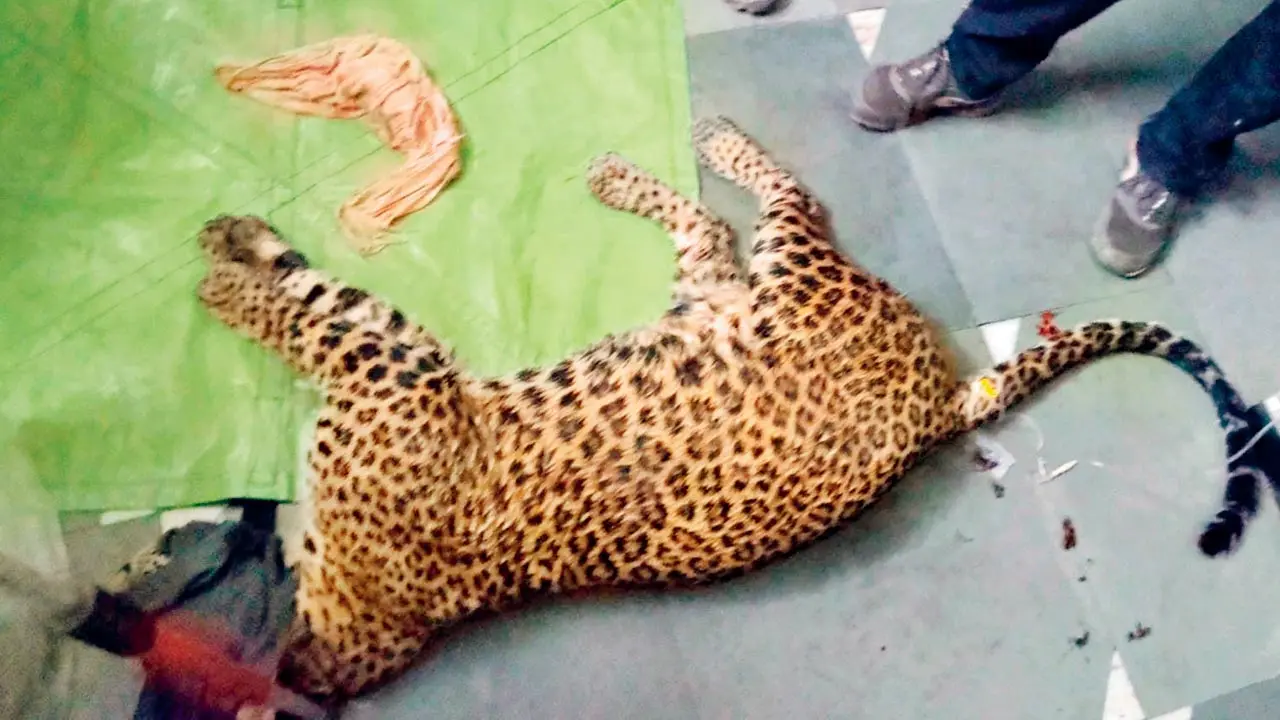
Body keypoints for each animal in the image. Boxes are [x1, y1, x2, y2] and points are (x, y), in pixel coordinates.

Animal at [195, 116, 1280, 703]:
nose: (274, 536)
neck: (393, 609)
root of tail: (940, 398)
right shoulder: (398, 371)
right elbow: (311, 291)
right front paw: (244, 242)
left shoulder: (396, 372)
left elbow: (302, 310)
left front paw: (222, 264)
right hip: (713, 298)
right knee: (707, 231)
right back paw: (625, 177)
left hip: (792, 273)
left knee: (776, 198)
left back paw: (702, 145)